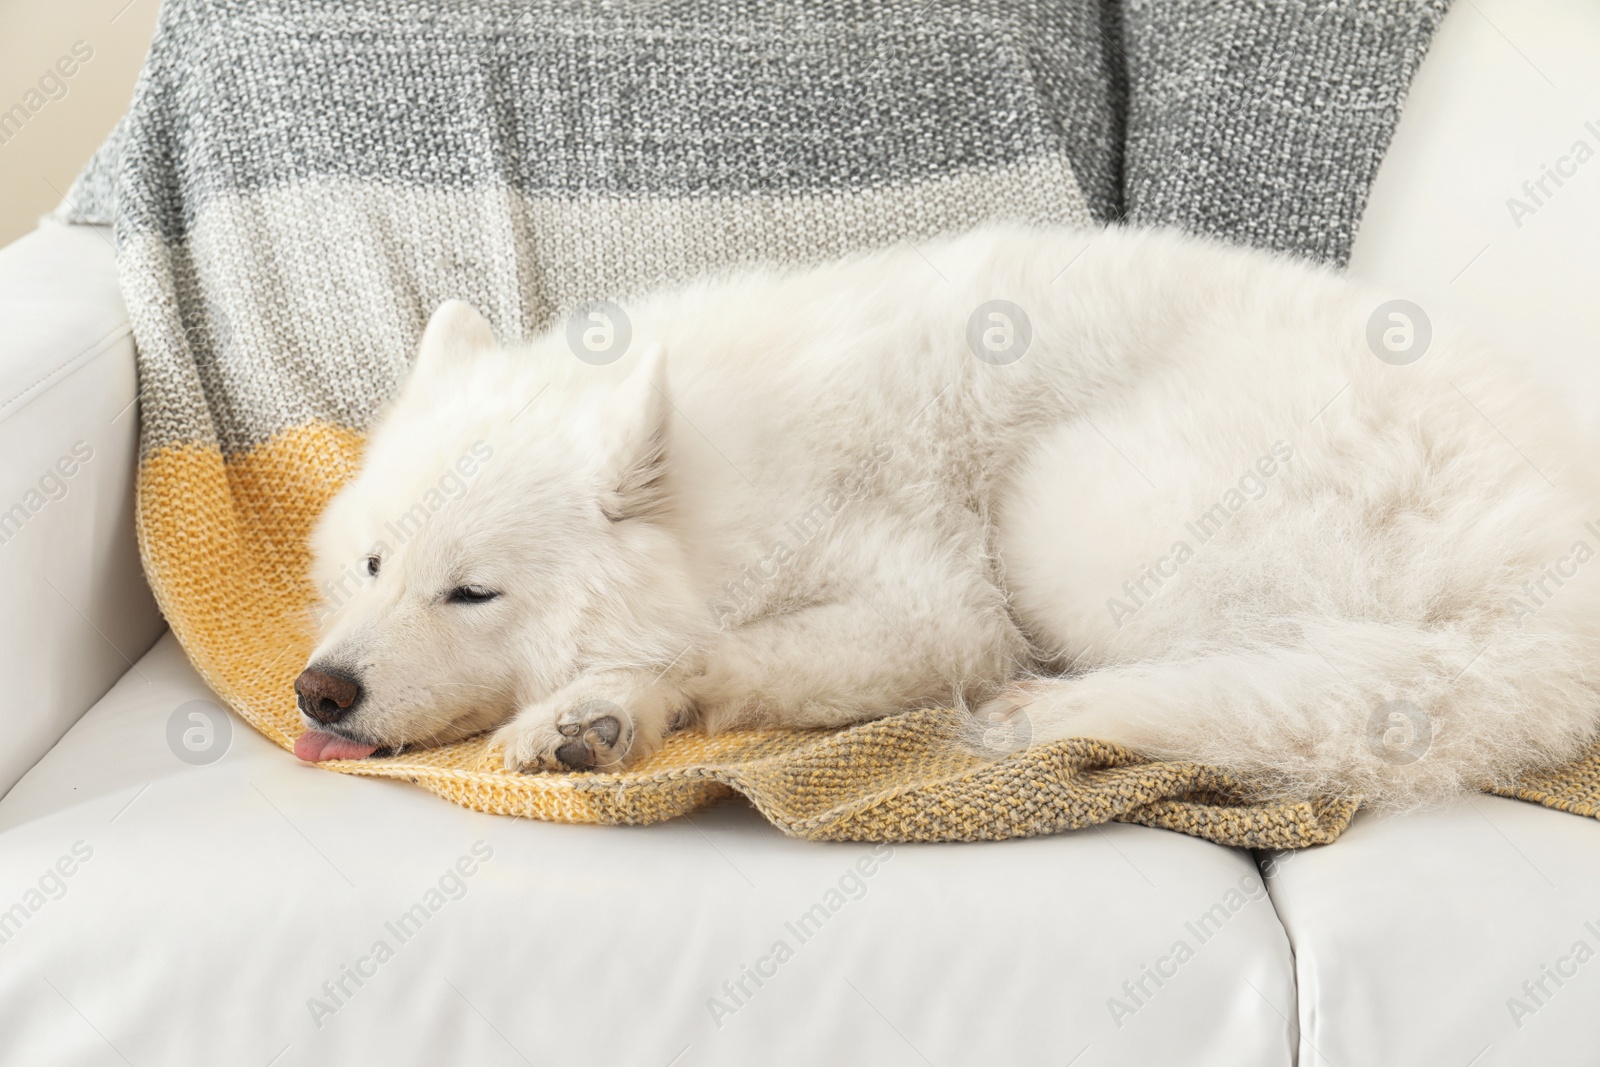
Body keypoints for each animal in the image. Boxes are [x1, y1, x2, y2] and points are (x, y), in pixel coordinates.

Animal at [294, 225, 1600, 809]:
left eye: (473, 591)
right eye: (372, 563)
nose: (319, 691)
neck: (730, 481)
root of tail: (1555, 586)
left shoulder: (938, 607)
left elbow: (722, 651)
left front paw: (603, 699)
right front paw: (599, 718)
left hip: (1065, 512)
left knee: (1272, 694)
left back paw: (1051, 710)